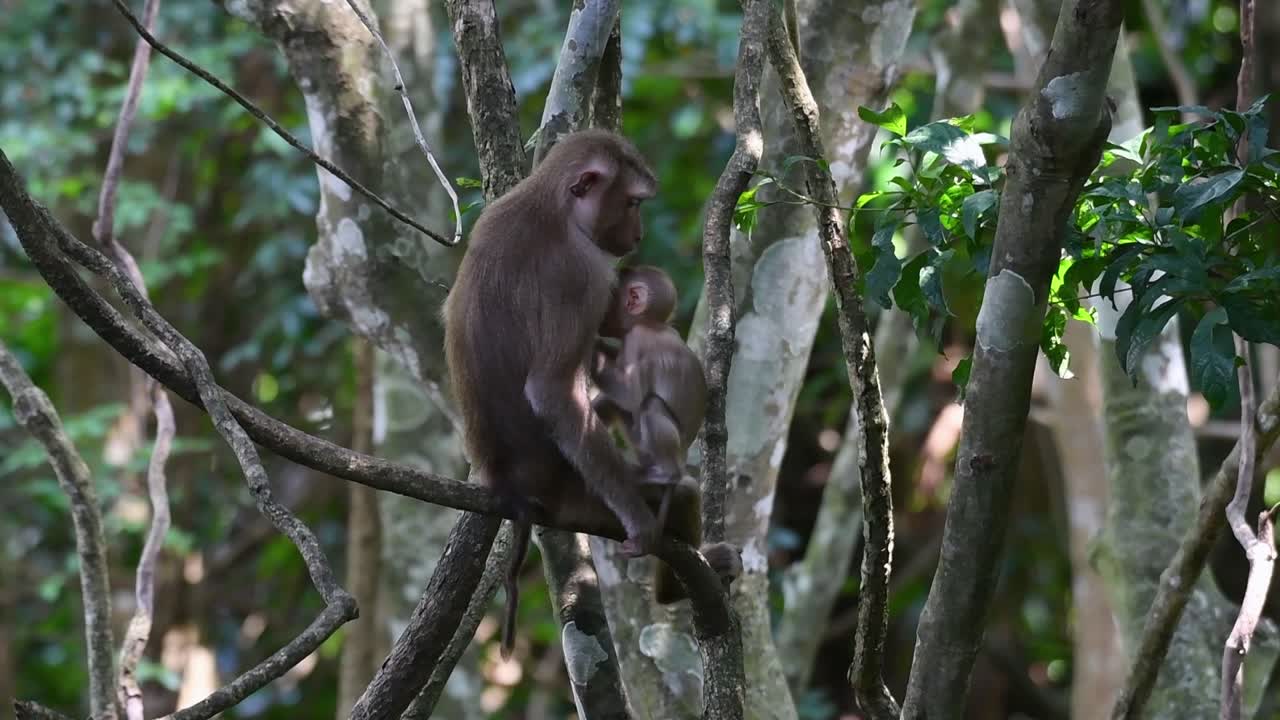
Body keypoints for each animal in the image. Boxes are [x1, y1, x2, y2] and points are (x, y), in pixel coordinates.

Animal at [443, 130, 700, 659]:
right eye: (633, 203)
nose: (638, 235)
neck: (553, 208)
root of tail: (511, 484)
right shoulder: (582, 275)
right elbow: (550, 392)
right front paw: (641, 522)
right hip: (577, 493)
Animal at [591, 265, 742, 604]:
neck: (651, 323)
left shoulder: (638, 341)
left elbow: (632, 394)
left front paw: (591, 346)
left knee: (648, 404)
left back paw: (664, 474)